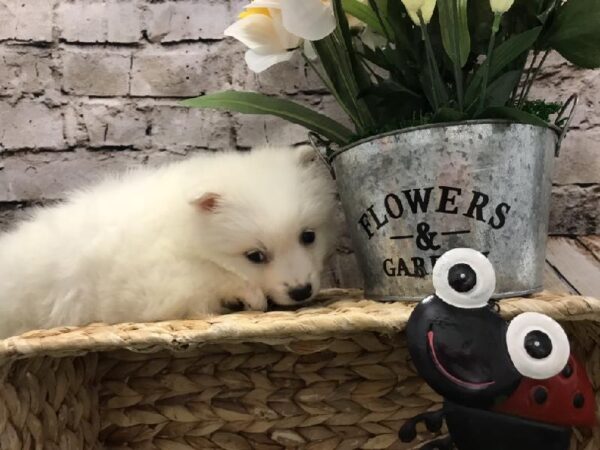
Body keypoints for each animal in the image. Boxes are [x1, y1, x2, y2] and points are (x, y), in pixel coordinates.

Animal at [0, 146, 338, 340]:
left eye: (308, 236)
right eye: (255, 255)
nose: (301, 291)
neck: (184, 228)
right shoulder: (158, 284)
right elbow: (212, 279)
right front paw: (248, 295)